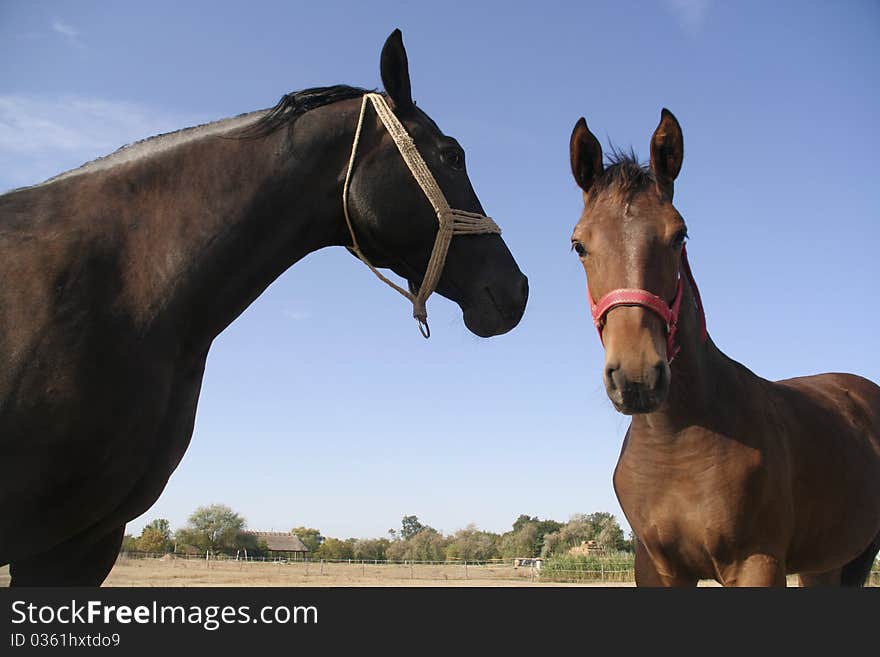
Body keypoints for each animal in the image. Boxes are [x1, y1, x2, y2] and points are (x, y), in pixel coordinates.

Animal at [568, 110, 880, 588]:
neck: (676, 444)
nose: (637, 376)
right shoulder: (657, 569)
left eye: (679, 235)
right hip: (825, 563)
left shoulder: (757, 563)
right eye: (579, 244)